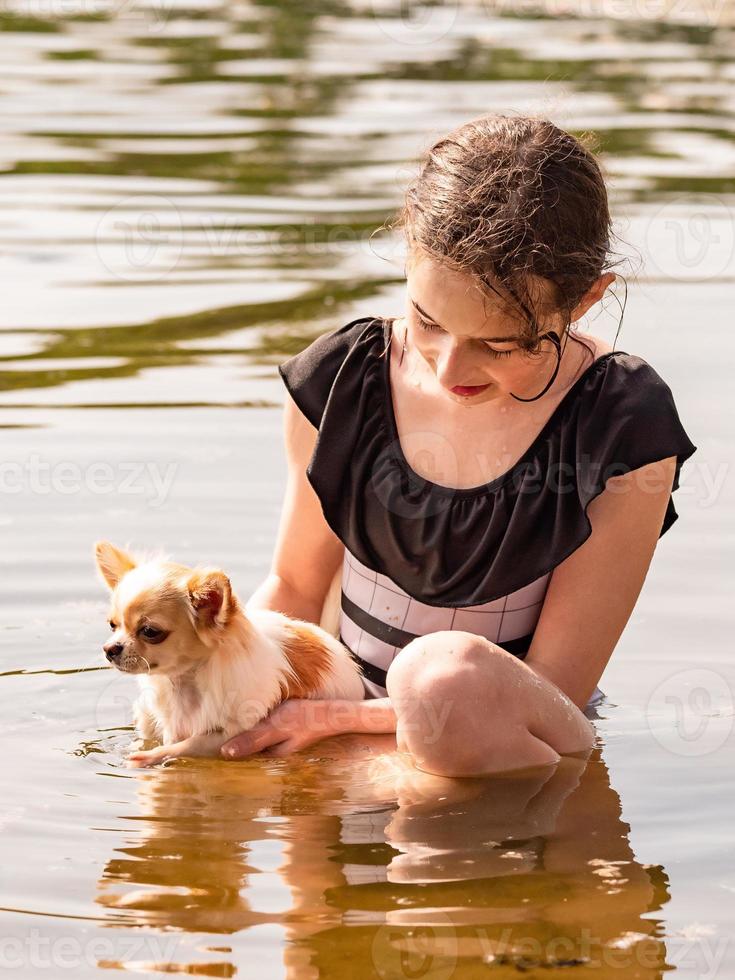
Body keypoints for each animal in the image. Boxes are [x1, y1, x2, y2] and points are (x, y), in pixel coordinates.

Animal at [95, 544, 366, 764]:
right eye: (112, 625)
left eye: (150, 631)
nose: (109, 649)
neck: (185, 682)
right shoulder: (167, 723)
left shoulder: (234, 734)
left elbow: (191, 744)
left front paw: (151, 756)